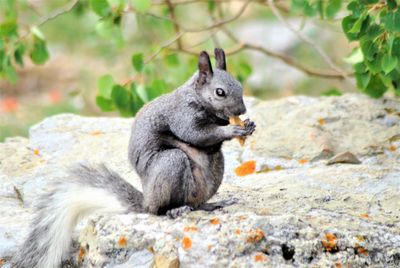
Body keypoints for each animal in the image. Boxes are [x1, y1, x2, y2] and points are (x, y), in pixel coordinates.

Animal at [13, 48, 256, 268]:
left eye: (239, 86)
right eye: (220, 92)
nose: (241, 110)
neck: (199, 99)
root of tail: (145, 200)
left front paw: (248, 125)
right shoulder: (181, 115)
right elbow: (196, 134)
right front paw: (232, 130)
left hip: (214, 170)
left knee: (196, 202)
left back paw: (210, 205)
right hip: (171, 163)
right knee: (159, 210)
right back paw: (173, 210)